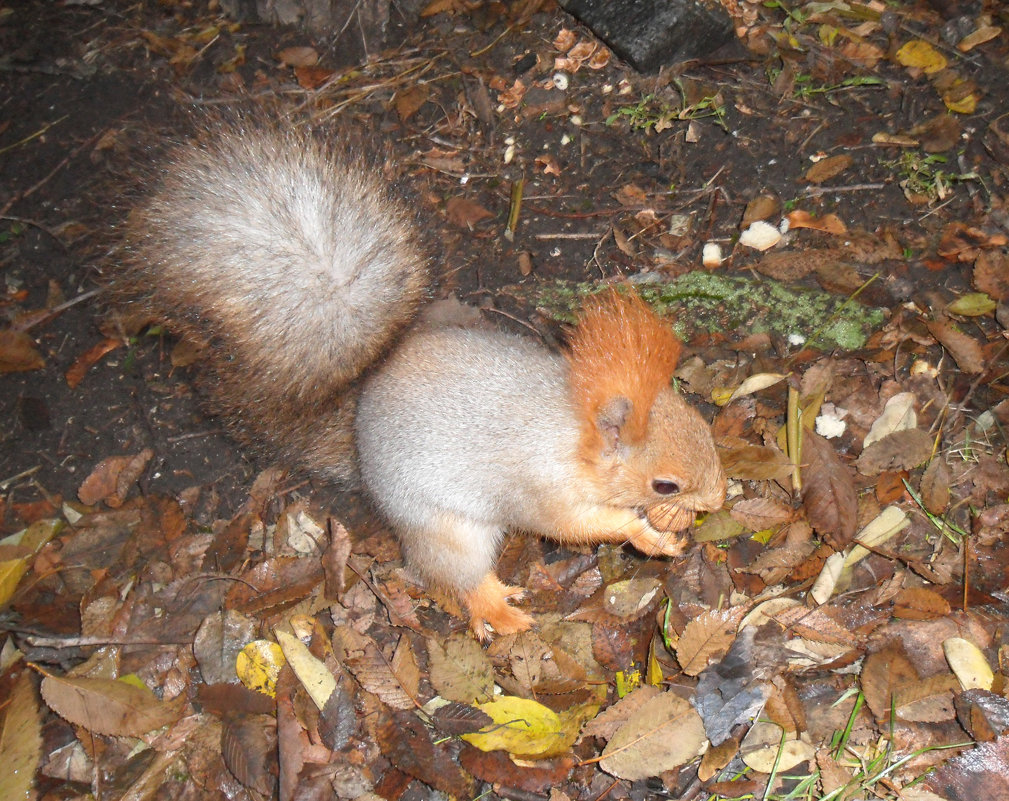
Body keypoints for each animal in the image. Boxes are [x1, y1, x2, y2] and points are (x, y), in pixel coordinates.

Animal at [118, 123, 730, 637]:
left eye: (700, 421)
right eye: (665, 485)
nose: (720, 499)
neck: (574, 428)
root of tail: (363, 411)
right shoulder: (543, 491)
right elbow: (580, 524)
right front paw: (644, 533)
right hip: (445, 528)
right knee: (454, 574)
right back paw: (496, 609)